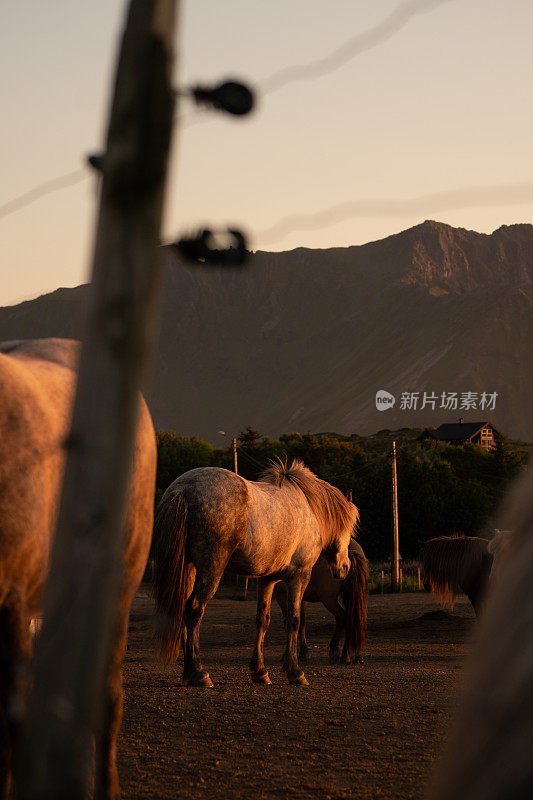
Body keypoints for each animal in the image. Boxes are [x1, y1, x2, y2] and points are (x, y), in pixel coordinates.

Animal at [153, 456, 358, 688]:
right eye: (350, 527)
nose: (345, 568)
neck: (308, 507)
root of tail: (183, 489)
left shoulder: (267, 579)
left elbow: (263, 620)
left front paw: (260, 671)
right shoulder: (299, 575)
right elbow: (294, 620)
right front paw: (295, 672)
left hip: (189, 569)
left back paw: (189, 672)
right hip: (211, 569)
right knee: (194, 610)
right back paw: (198, 672)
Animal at [272, 536, 368, 664]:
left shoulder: (282, 595)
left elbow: (288, 622)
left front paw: (287, 655)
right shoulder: (301, 598)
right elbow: (301, 623)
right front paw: (303, 653)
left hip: (328, 599)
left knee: (342, 617)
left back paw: (336, 651)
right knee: (352, 618)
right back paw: (351, 655)